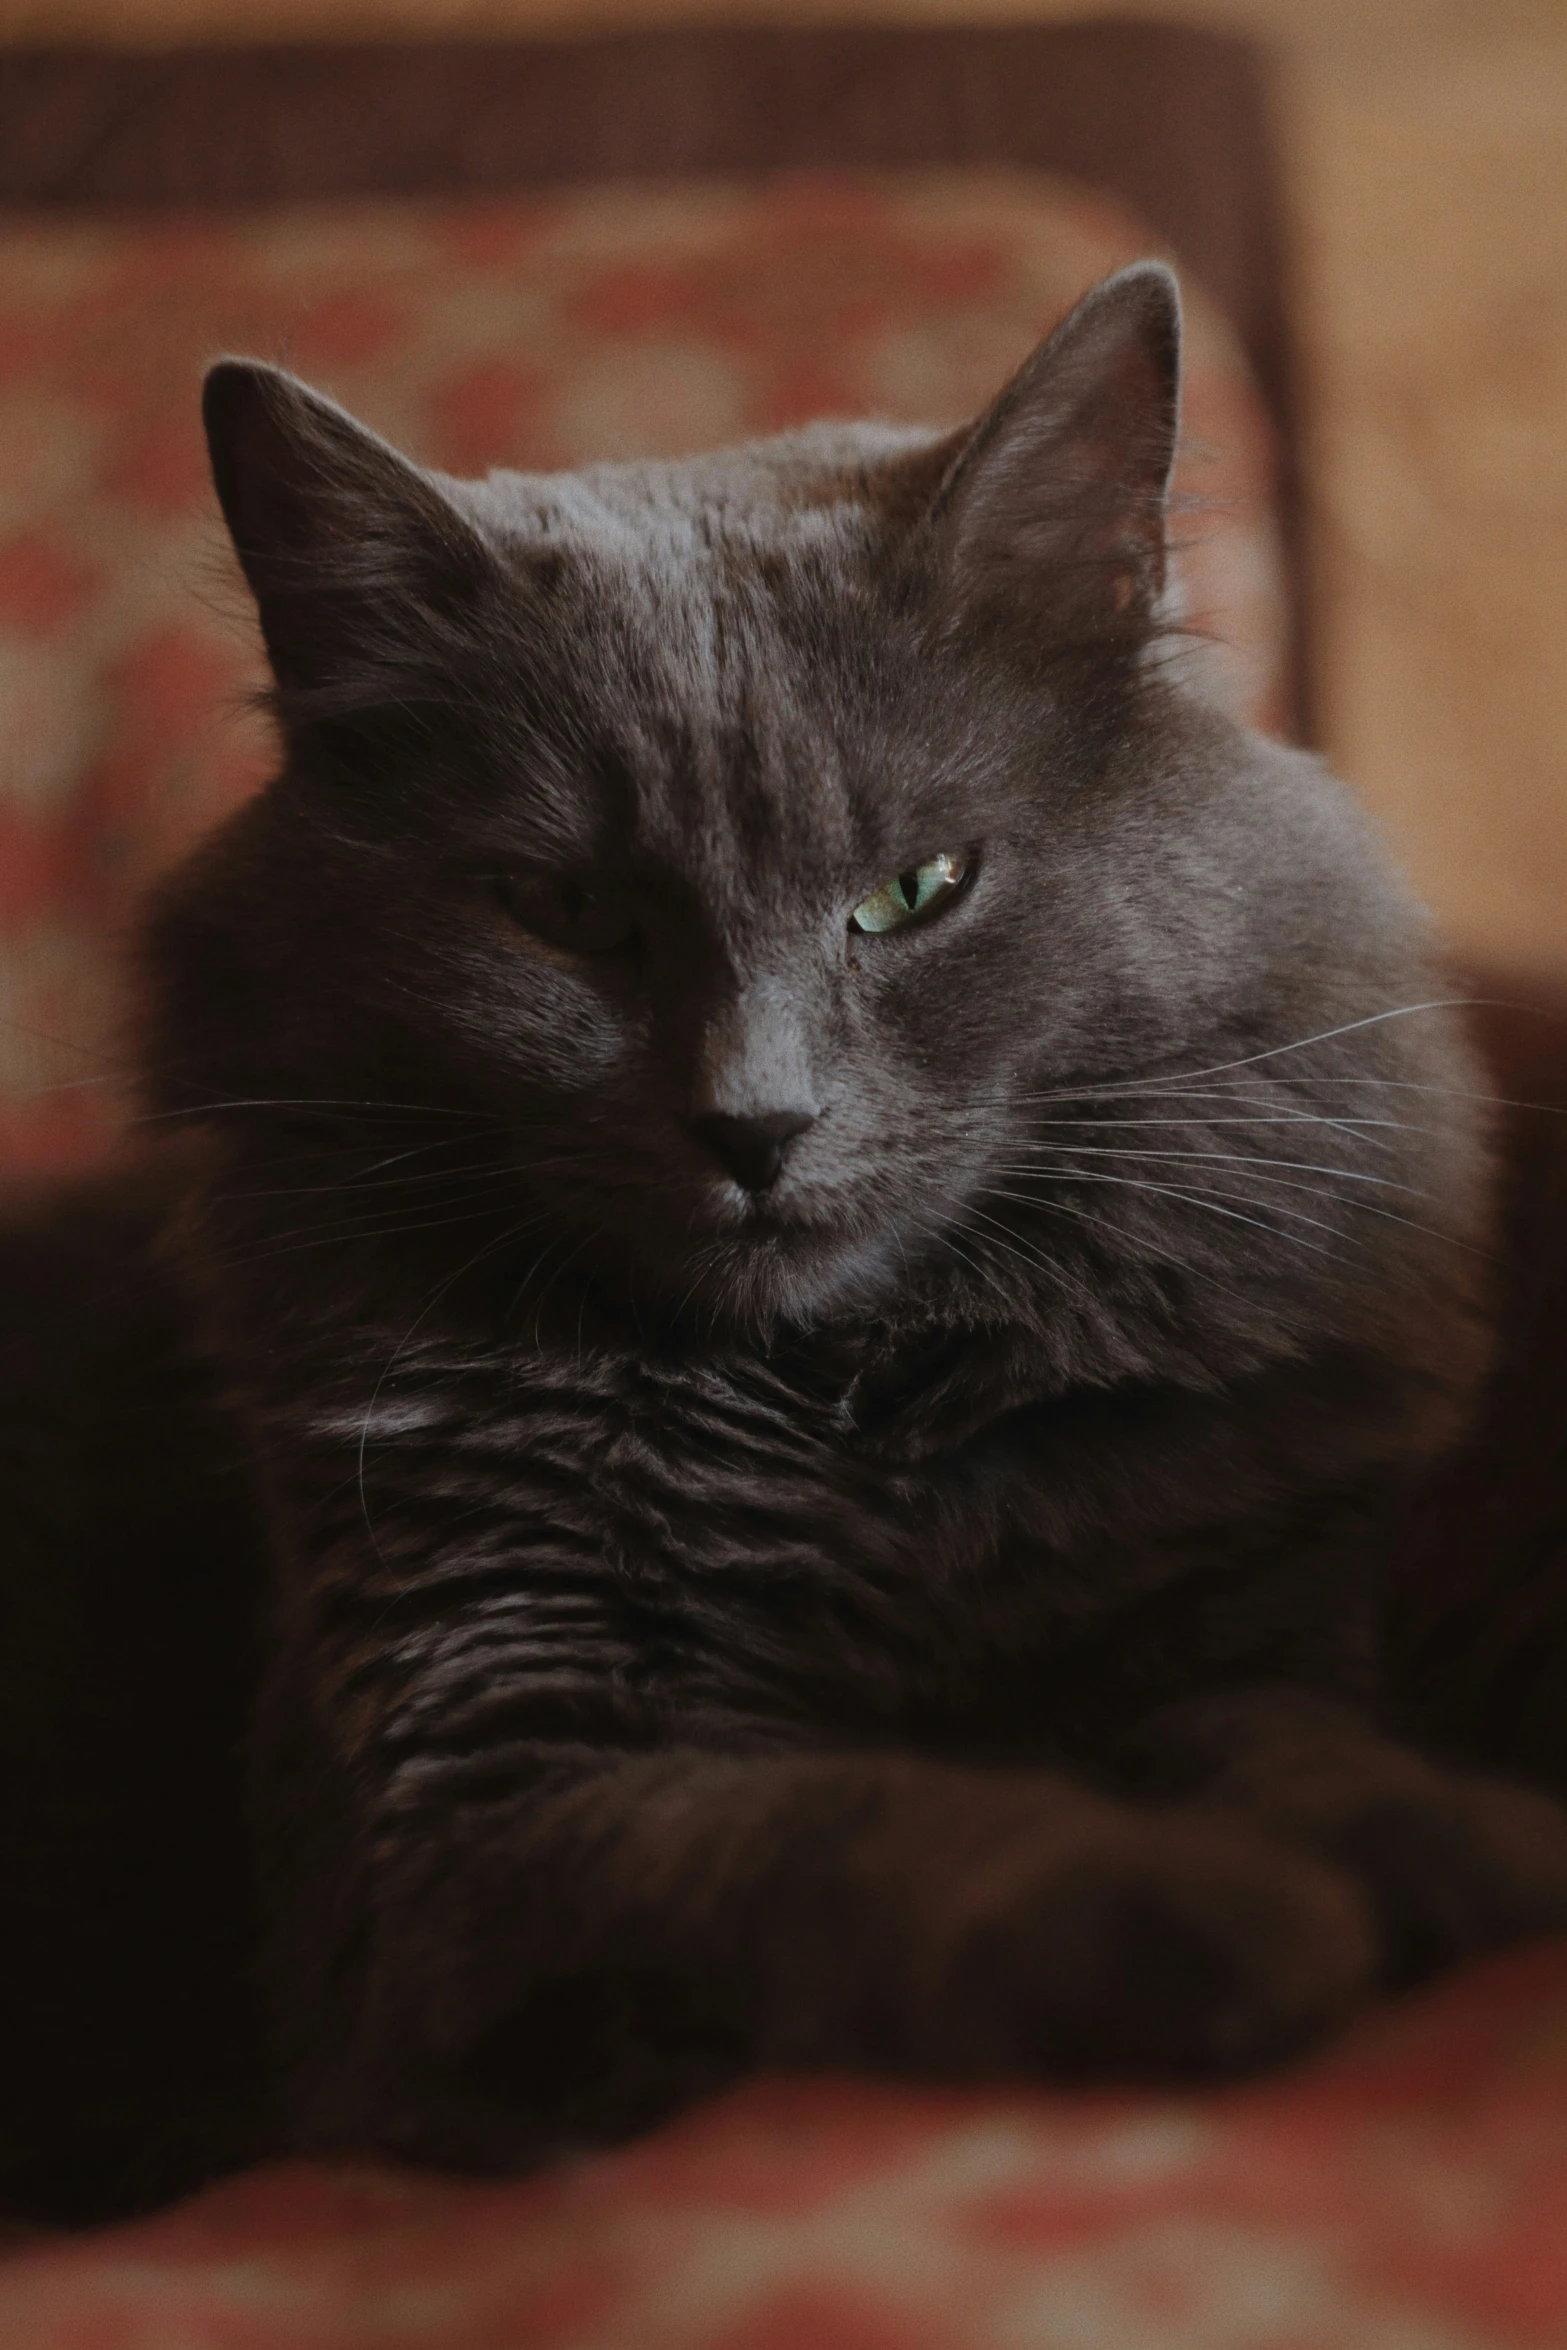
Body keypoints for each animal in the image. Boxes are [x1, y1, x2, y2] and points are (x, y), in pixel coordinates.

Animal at [9, 266, 1567, 2209]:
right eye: (567, 915)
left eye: (913, 892)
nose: (756, 1124)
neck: (836, 1428)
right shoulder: (481, 1822)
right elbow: (833, 1824)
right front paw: (1198, 1911)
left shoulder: (1241, 1622)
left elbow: (1282, 1743)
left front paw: (1454, 1853)